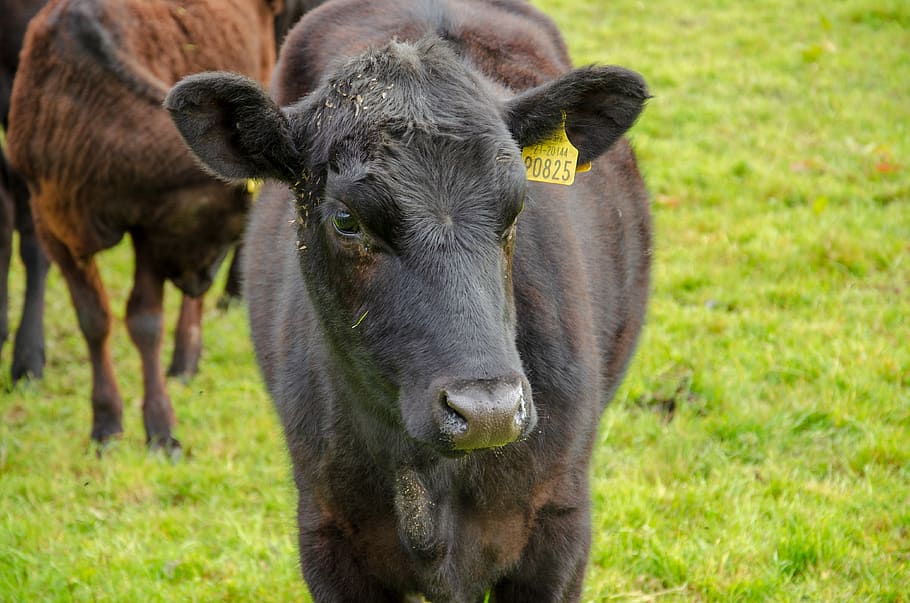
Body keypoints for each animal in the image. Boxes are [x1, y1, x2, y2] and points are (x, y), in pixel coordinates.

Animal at [6, 0, 282, 448]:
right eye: (226, 223)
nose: (202, 281)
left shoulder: (152, 228)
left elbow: (145, 322)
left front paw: (161, 429)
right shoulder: (54, 222)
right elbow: (93, 319)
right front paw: (105, 423)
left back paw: (186, 357)